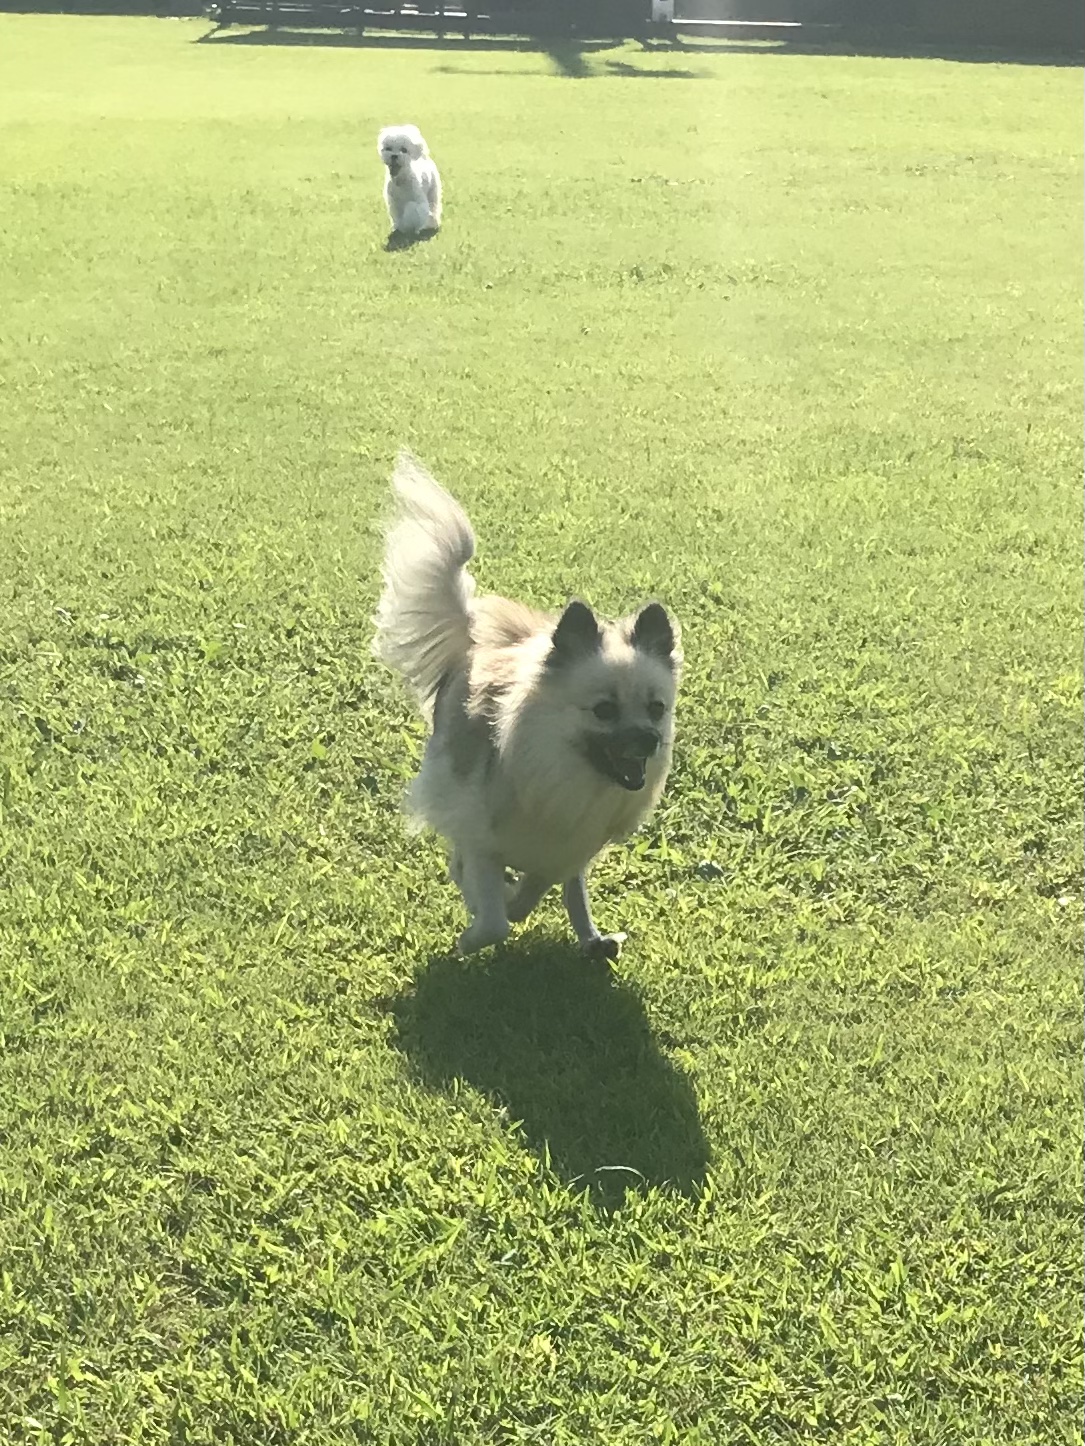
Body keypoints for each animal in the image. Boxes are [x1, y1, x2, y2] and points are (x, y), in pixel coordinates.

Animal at [372, 453, 682, 960]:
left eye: (656, 709)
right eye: (604, 710)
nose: (649, 740)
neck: (566, 775)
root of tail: (474, 641)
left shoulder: (568, 848)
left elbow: (536, 890)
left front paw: (516, 899)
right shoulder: (479, 838)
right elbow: (492, 914)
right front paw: (474, 930)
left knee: (571, 891)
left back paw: (592, 939)